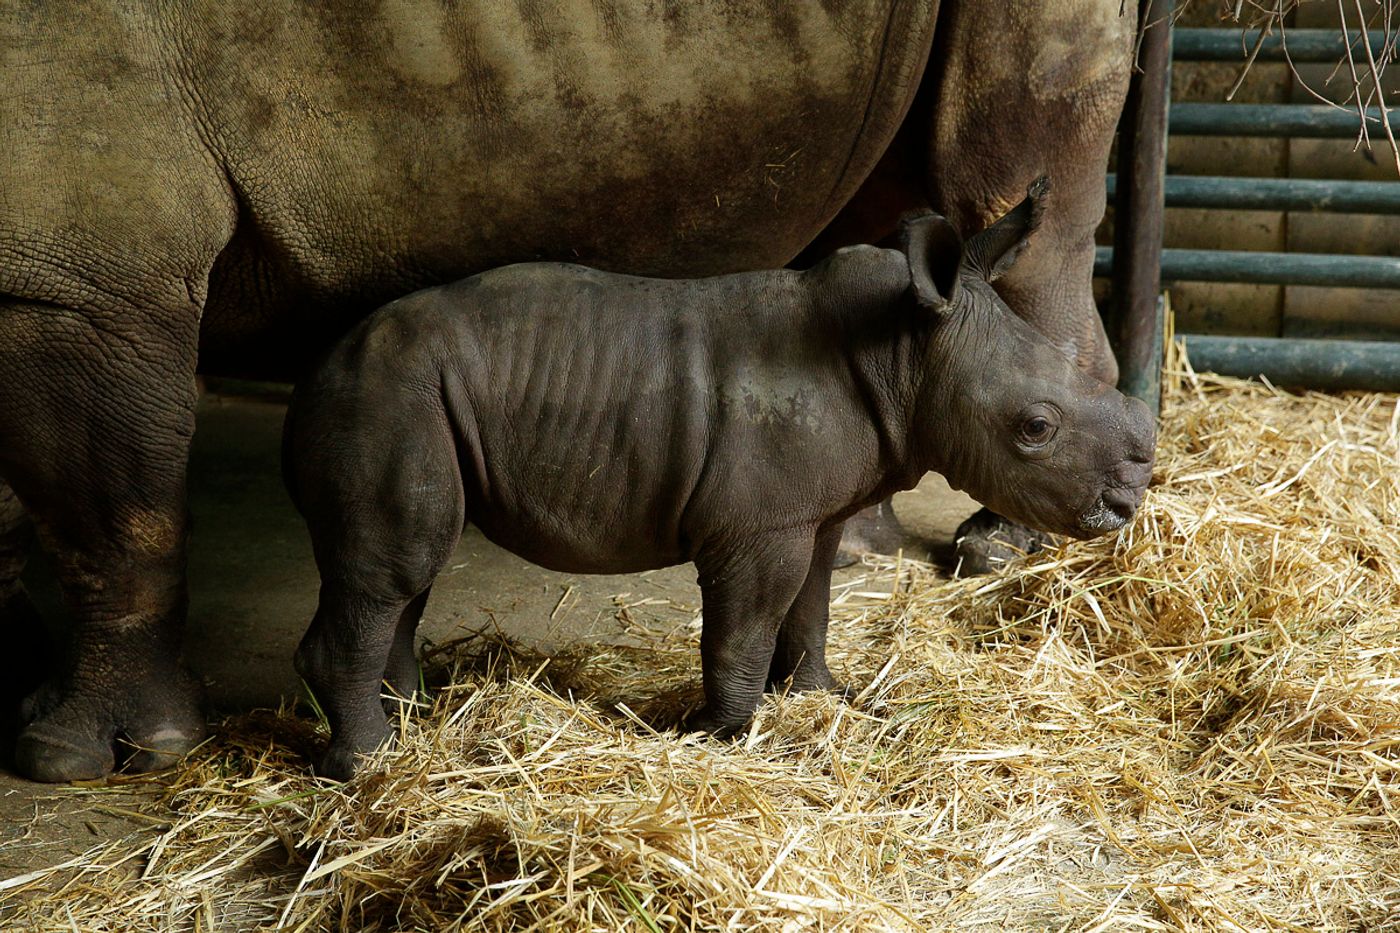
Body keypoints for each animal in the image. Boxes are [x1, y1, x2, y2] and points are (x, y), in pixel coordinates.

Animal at [287, 177, 1159, 773]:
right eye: (1036, 428)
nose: (1126, 501)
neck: (906, 350)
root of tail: (317, 373)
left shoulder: (815, 514)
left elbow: (811, 608)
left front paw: (820, 699)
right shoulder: (759, 526)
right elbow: (743, 627)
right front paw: (723, 737)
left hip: (407, 396)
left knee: (406, 573)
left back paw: (416, 722)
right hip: (389, 398)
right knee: (397, 568)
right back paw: (371, 765)